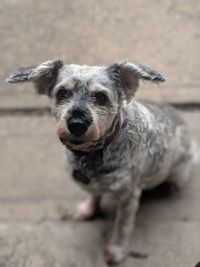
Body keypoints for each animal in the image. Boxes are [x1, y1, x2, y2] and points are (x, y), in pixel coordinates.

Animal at [6, 60, 197, 264]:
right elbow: (94, 195)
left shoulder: (129, 197)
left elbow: (122, 226)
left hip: (178, 171)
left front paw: (117, 250)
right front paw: (88, 209)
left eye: (100, 97)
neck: (94, 153)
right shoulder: (92, 185)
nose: (77, 124)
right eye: (62, 93)